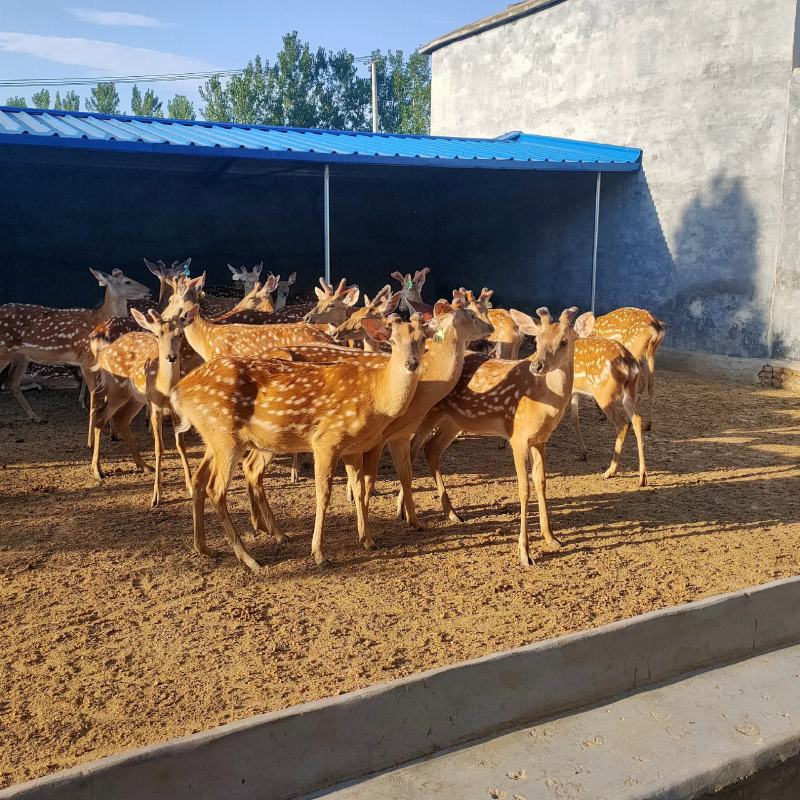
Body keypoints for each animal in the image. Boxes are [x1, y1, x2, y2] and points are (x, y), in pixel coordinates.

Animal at [0, 268, 150, 423]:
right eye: (127, 281)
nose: (149, 291)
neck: (100, 318)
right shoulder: (86, 358)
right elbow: (94, 392)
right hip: (4, 350)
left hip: (21, 356)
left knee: (12, 382)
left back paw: (36, 416)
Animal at [90, 307, 198, 506]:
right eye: (157, 334)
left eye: (180, 334)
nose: (171, 356)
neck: (164, 387)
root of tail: (104, 351)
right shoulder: (154, 406)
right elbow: (159, 447)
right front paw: (156, 496)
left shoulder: (175, 409)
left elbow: (181, 445)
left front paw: (191, 487)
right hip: (116, 388)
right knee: (102, 416)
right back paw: (97, 470)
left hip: (135, 398)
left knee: (121, 419)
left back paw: (143, 465)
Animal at [170, 314, 435, 572]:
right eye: (392, 341)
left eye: (423, 339)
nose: (412, 363)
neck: (375, 399)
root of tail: (178, 391)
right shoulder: (327, 440)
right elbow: (323, 494)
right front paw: (319, 554)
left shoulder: (353, 448)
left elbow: (360, 489)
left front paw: (368, 540)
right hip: (225, 436)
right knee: (216, 488)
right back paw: (249, 558)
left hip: (218, 437)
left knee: (202, 479)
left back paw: (207, 548)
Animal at [410, 307, 590, 567]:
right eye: (537, 340)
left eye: (564, 341)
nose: (538, 366)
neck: (545, 404)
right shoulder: (518, 437)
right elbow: (524, 488)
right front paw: (525, 552)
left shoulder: (540, 440)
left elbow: (542, 482)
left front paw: (551, 538)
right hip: (429, 412)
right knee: (412, 447)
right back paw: (406, 514)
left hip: (454, 421)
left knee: (431, 449)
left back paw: (452, 513)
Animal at [570, 322, 647, 486]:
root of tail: (629, 363)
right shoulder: (573, 391)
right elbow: (574, 418)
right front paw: (583, 453)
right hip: (629, 391)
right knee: (637, 419)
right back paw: (642, 477)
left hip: (604, 393)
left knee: (623, 423)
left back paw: (609, 471)